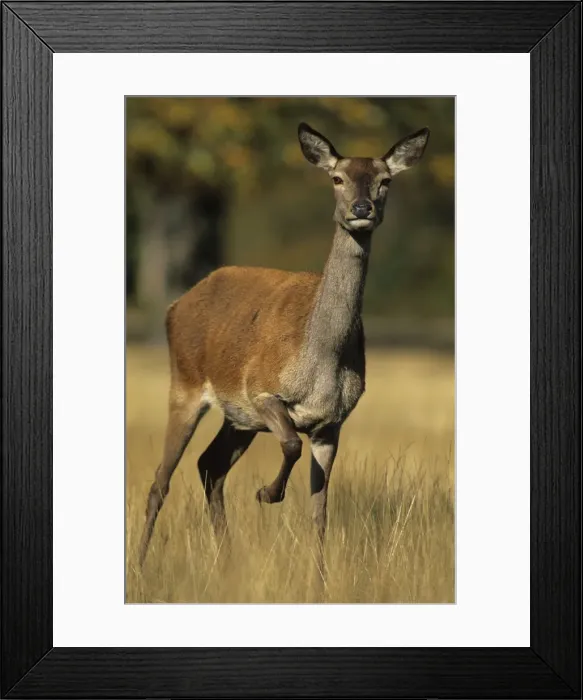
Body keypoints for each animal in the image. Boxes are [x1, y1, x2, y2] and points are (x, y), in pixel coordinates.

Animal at [138, 122, 429, 574]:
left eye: (385, 180)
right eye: (337, 178)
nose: (361, 208)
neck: (322, 362)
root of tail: (175, 305)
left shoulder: (332, 424)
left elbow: (320, 509)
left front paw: (321, 578)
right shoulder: (263, 391)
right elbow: (292, 444)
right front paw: (266, 493)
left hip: (237, 419)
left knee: (209, 466)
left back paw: (227, 565)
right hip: (185, 385)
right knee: (161, 479)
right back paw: (138, 565)